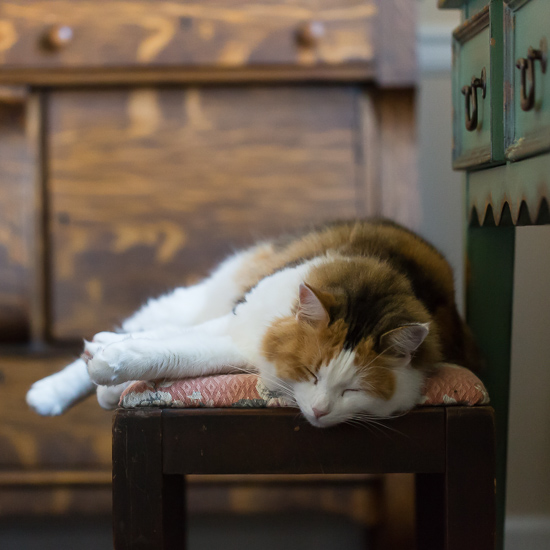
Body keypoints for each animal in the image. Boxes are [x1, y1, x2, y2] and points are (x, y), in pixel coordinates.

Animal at [27, 222, 484, 430]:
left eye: (353, 390)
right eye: (311, 373)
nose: (320, 412)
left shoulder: (243, 346)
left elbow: (177, 353)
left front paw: (114, 374)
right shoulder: (243, 319)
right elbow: (162, 344)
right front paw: (109, 365)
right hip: (202, 298)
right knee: (155, 324)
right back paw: (49, 391)